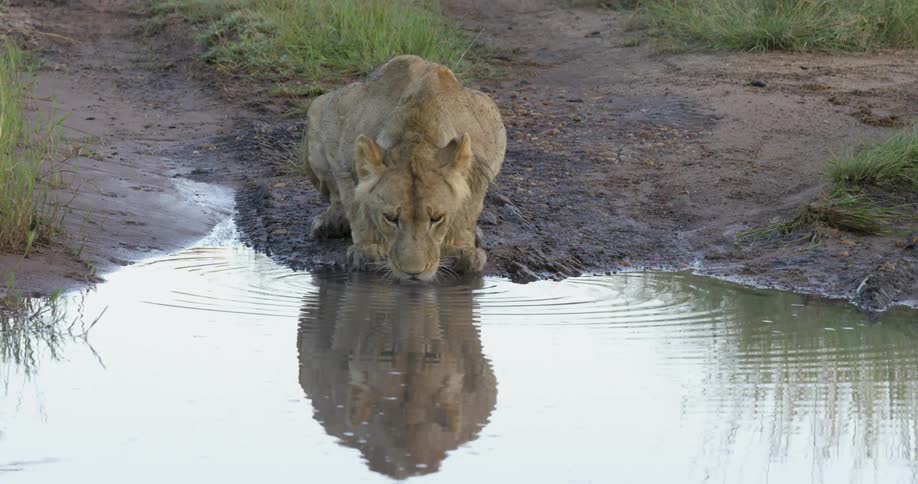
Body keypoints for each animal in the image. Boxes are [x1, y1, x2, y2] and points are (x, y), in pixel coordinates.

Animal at [303, 55, 507, 281]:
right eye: (391, 219)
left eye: (436, 218)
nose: (413, 273)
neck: (416, 129)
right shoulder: (343, 155)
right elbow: (355, 205)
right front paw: (368, 250)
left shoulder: (481, 162)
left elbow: (468, 209)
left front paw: (461, 250)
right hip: (319, 110)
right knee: (335, 196)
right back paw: (331, 221)